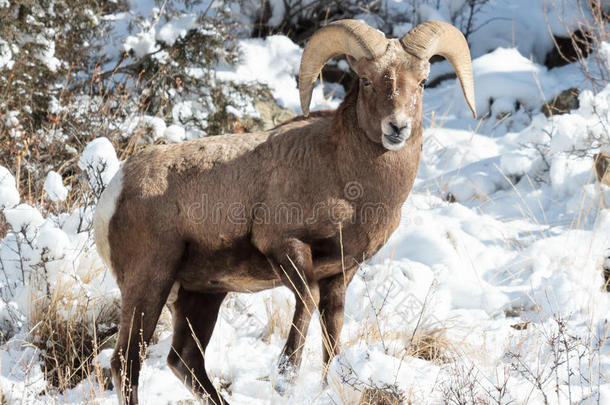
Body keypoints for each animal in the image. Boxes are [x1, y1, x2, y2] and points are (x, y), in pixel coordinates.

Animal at [95, 19, 476, 404]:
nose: (397, 128)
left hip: (200, 296)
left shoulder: (340, 274)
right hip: (150, 283)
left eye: (422, 82)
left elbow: (332, 335)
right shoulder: (286, 247)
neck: (348, 180)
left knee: (185, 360)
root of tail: (115, 189)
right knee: (126, 362)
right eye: (367, 80)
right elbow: (306, 300)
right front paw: (285, 376)